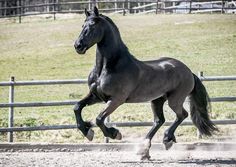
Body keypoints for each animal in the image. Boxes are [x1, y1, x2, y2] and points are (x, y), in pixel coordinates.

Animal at [73, 7, 218, 160]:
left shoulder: (116, 100)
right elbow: (77, 107)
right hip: (157, 100)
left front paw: (115, 134)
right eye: (82, 26)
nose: (78, 46)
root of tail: (189, 72)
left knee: (182, 115)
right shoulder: (96, 96)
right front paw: (87, 131)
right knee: (159, 120)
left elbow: (99, 119)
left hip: (175, 100)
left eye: (92, 26)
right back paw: (145, 149)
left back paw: (166, 139)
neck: (108, 67)